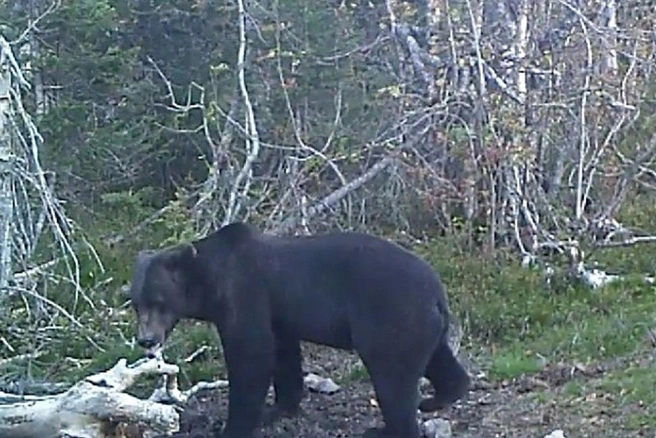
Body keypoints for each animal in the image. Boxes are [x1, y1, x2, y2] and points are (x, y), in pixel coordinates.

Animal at [127, 222, 466, 438]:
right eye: (135, 302)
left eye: (158, 301)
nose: (146, 339)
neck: (210, 281)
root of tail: (437, 290)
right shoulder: (279, 311)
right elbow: (283, 353)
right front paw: (279, 408)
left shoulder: (247, 293)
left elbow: (251, 356)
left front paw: (233, 426)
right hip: (419, 323)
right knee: (437, 358)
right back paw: (440, 396)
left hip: (389, 316)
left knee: (392, 378)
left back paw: (385, 429)